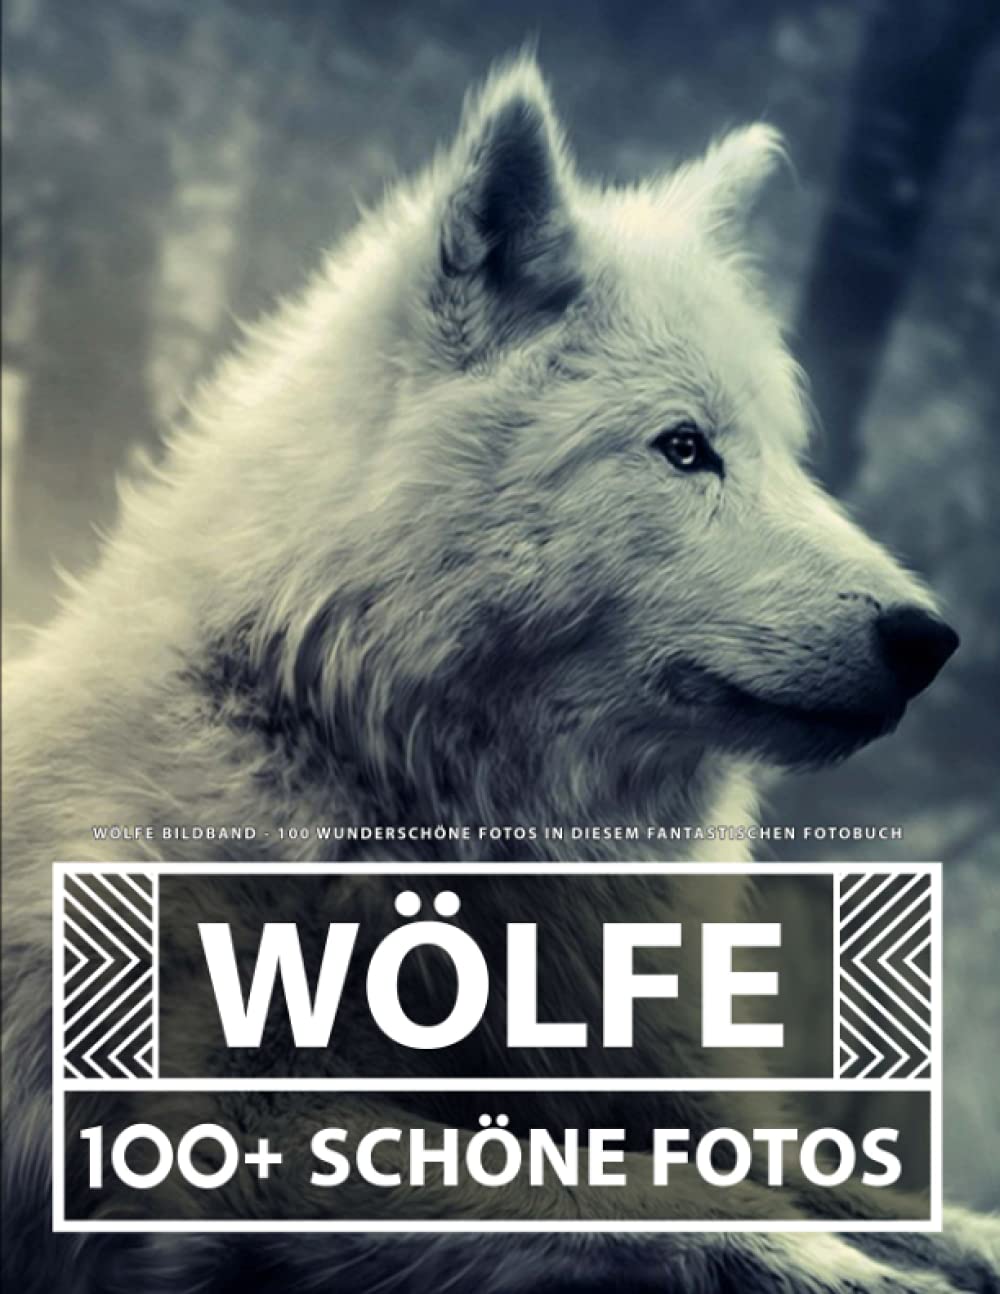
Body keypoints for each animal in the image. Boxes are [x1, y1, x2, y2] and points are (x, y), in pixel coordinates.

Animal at [3, 54, 997, 1294]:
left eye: (783, 455)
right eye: (684, 447)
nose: (930, 638)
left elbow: (863, 1189)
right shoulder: (213, 1134)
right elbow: (631, 1194)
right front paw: (847, 1269)